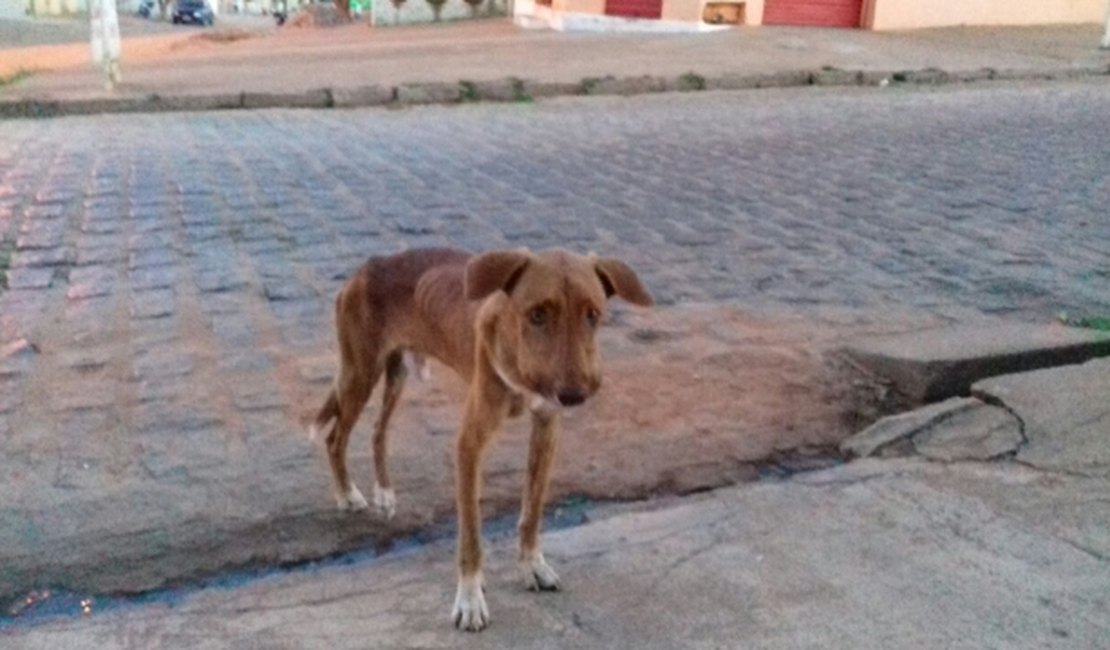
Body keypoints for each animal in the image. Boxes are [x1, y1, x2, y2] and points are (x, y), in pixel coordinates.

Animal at [308, 245, 652, 630]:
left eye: (592, 314)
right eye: (537, 314)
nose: (574, 395)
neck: (520, 363)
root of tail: (366, 268)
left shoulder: (547, 428)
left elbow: (531, 512)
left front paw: (532, 566)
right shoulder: (469, 445)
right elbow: (471, 535)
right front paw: (471, 599)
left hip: (396, 373)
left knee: (378, 431)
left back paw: (384, 492)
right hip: (359, 374)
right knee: (335, 437)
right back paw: (348, 494)